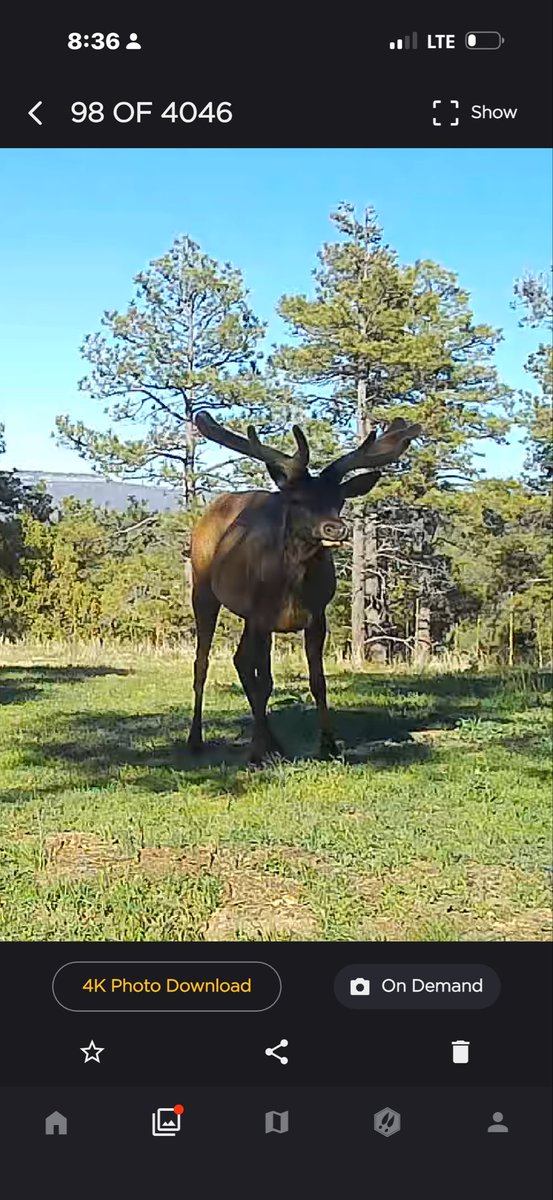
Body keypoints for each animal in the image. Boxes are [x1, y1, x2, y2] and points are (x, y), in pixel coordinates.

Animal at [188, 411, 421, 763]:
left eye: (339, 500)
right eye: (297, 500)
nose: (335, 529)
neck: (292, 590)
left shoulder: (316, 616)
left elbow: (317, 681)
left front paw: (329, 744)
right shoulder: (262, 617)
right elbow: (266, 682)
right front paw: (257, 752)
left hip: (245, 614)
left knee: (240, 660)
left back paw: (274, 741)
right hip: (203, 588)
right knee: (202, 662)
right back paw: (197, 739)